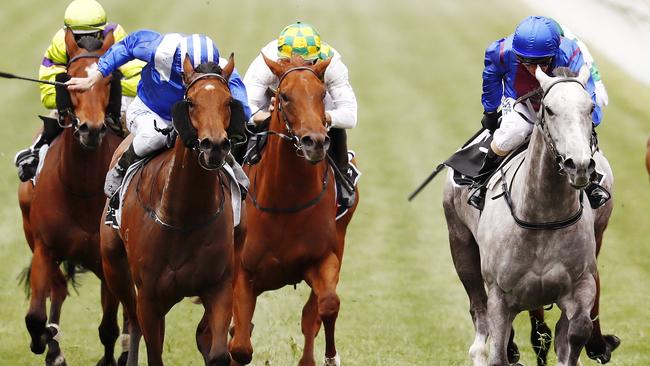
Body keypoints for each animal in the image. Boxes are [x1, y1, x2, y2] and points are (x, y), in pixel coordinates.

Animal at [17, 29, 123, 366]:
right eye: (69, 80)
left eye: (108, 81)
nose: (91, 129)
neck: (81, 189)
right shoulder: (44, 248)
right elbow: (36, 316)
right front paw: (46, 341)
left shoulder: (107, 261)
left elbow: (109, 327)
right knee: (59, 290)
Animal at [100, 54, 242, 366]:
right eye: (191, 102)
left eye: (228, 101)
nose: (214, 146)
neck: (185, 216)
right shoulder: (149, 298)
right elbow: (154, 352)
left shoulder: (220, 287)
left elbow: (217, 353)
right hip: (115, 268)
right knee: (133, 318)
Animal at [228, 54, 356, 366]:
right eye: (284, 96)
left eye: (322, 94)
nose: (315, 142)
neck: (285, 201)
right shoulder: (242, 272)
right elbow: (240, 346)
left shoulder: (324, 258)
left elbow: (327, 305)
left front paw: (331, 357)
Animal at [440, 66, 612, 366]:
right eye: (550, 109)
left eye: (590, 108)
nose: (579, 165)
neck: (543, 216)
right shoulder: (500, 297)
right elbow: (498, 350)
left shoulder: (581, 285)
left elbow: (575, 332)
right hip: (460, 244)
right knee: (479, 312)